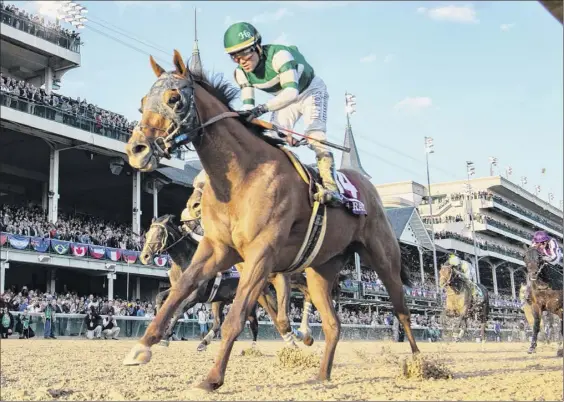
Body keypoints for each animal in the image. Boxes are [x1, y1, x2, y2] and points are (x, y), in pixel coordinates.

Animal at [125, 51, 420, 392]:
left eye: (174, 99)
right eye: (143, 102)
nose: (136, 150)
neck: (243, 175)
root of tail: (368, 187)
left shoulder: (261, 255)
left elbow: (237, 317)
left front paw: (212, 378)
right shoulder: (218, 249)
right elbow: (179, 291)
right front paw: (143, 346)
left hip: (384, 259)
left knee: (402, 311)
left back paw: (420, 364)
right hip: (321, 269)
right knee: (333, 323)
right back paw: (321, 374)